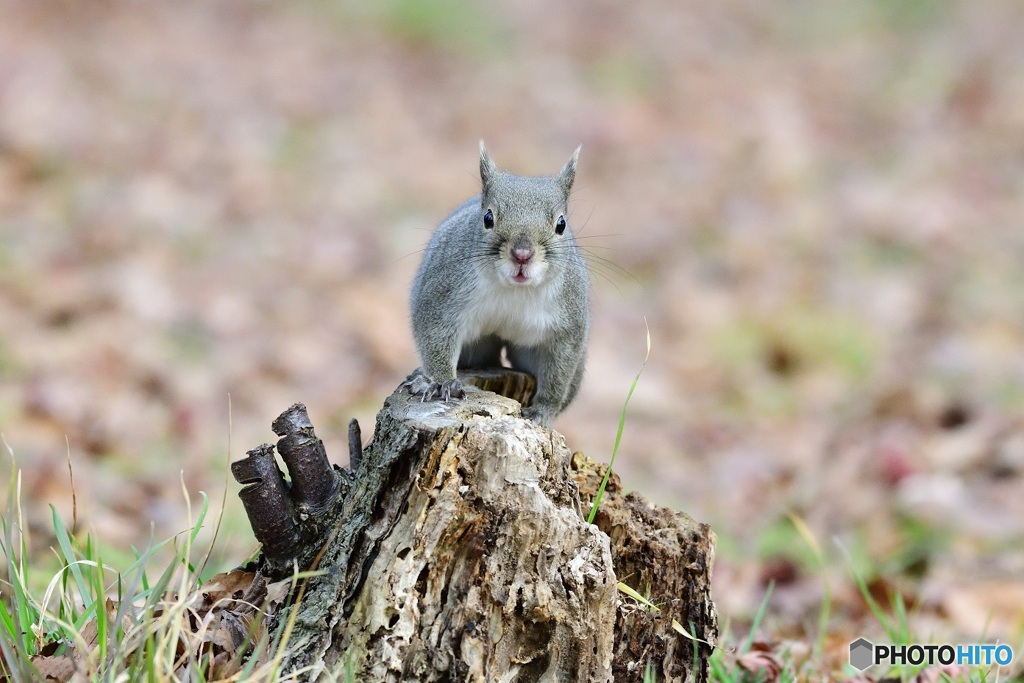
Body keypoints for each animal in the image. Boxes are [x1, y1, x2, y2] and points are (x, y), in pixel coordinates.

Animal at [401, 141, 589, 423]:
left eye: (561, 224)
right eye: (488, 218)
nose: (522, 255)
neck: (514, 289)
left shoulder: (565, 328)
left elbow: (558, 373)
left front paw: (542, 410)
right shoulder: (443, 296)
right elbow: (436, 336)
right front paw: (440, 381)